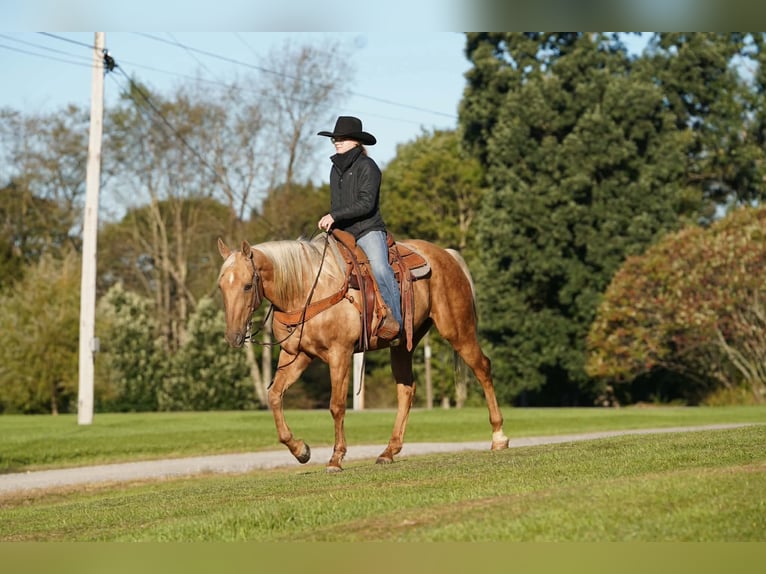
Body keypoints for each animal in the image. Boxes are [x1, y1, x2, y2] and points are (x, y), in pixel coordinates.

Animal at [216, 233, 509, 472]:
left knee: (483, 367)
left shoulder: (340, 353)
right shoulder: (296, 355)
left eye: (247, 285)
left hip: (457, 330)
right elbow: (275, 396)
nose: (232, 337)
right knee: (406, 389)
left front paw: (335, 459)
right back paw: (389, 451)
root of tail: (447, 255)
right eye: (221, 286)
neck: (307, 288)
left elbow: (336, 406)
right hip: (403, 344)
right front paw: (301, 450)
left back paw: (498, 437)